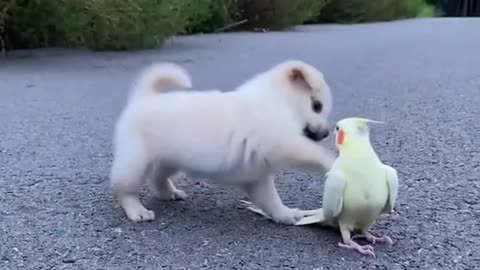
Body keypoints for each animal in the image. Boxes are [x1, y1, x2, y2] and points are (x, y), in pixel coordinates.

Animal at [110, 60, 336, 225]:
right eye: (317, 106)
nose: (326, 133)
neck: (278, 101)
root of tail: (144, 98)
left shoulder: (258, 176)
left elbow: (272, 201)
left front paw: (286, 215)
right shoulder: (284, 143)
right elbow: (313, 153)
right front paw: (333, 162)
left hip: (171, 159)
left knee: (158, 176)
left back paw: (170, 193)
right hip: (136, 162)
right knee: (125, 189)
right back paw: (137, 210)